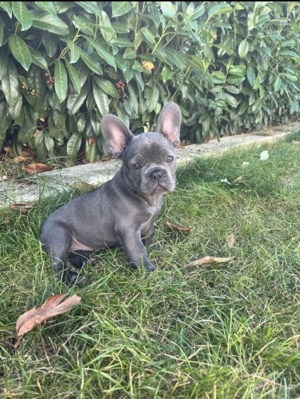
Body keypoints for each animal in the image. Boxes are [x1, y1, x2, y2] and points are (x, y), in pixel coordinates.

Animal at [39, 102, 180, 284]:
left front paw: (154, 247)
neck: (147, 198)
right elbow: (138, 250)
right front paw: (147, 270)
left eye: (169, 158)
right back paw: (74, 277)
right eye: (135, 166)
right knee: (58, 265)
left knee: (73, 254)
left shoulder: (149, 223)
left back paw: (89, 262)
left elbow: (149, 236)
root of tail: (43, 228)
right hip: (59, 235)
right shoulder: (128, 230)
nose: (156, 173)